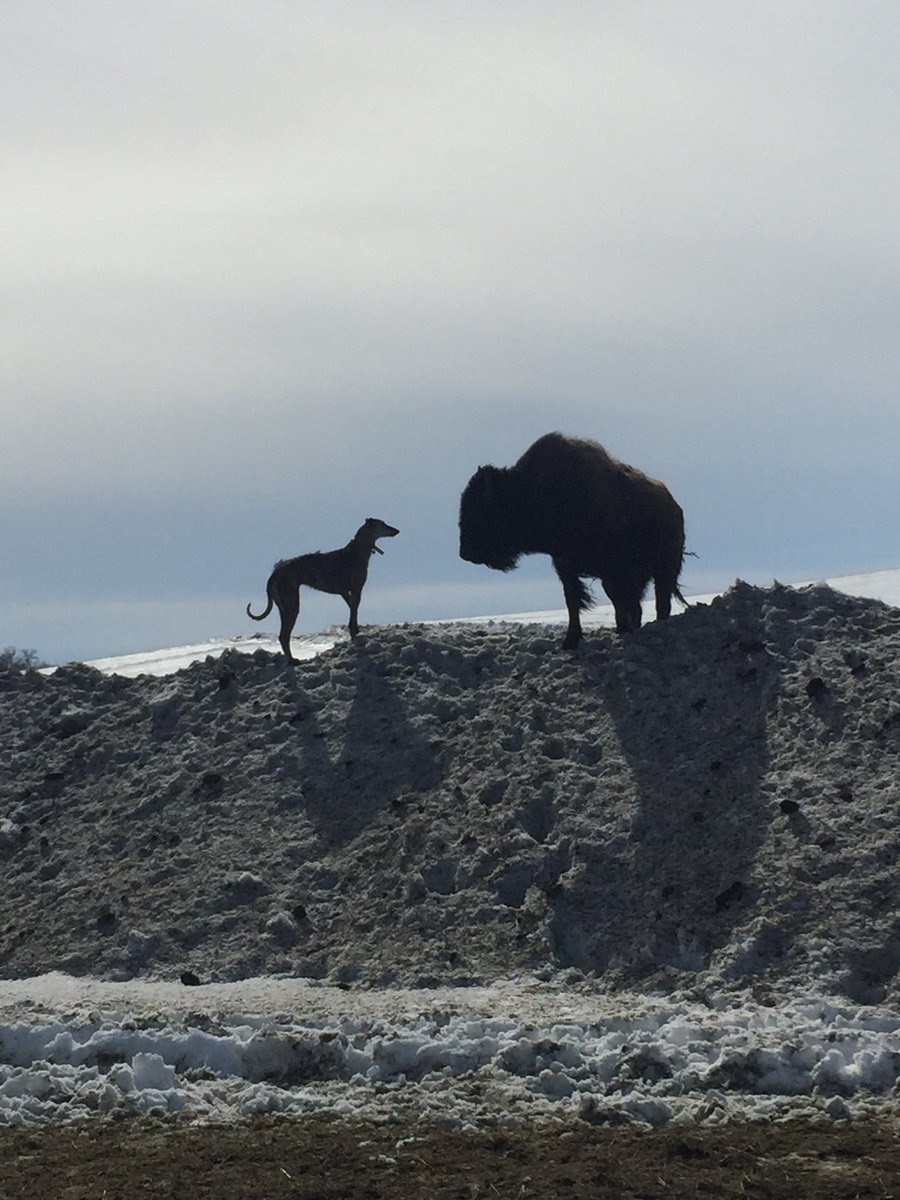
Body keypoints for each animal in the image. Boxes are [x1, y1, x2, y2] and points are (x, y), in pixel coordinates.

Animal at [459, 432, 686, 649]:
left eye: (478, 511)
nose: (464, 553)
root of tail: (674, 506)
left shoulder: (613, 571)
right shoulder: (566, 567)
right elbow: (574, 602)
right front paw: (570, 641)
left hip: (663, 569)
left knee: (661, 603)